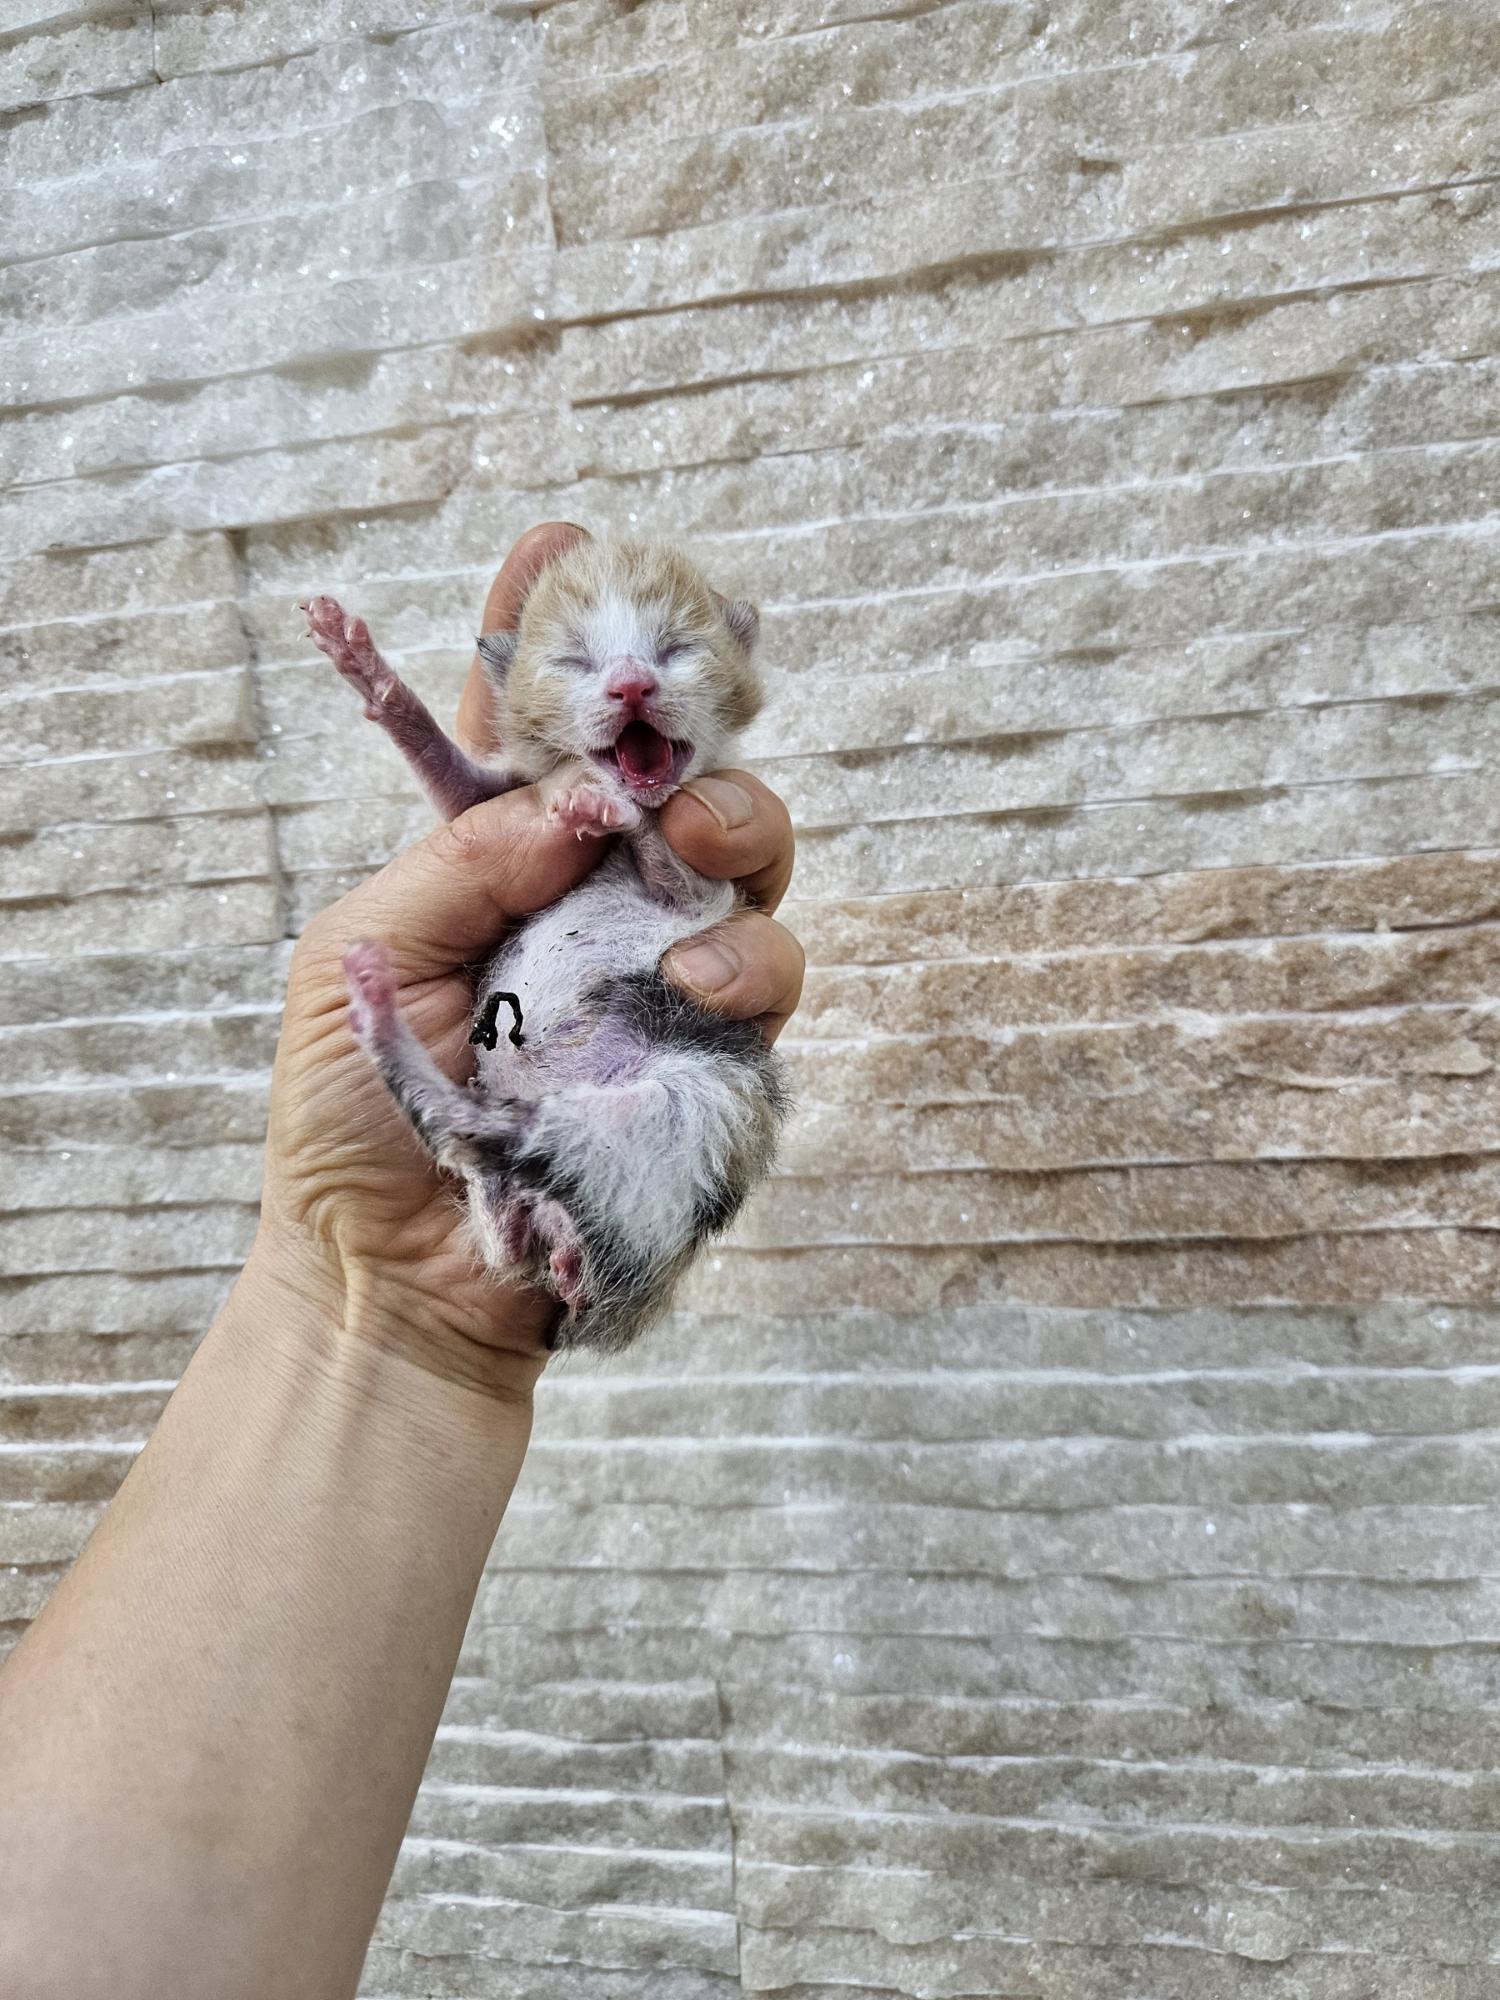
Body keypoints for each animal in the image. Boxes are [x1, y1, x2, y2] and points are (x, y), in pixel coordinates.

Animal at [310, 540, 792, 1352]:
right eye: (572, 661)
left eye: (677, 649)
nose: (632, 683)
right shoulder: (494, 800)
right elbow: (459, 789)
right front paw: (371, 673)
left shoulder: (707, 896)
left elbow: (670, 866)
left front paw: (611, 806)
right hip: (537, 1194)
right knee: (498, 1203)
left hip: (666, 1126)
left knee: (491, 1131)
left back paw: (382, 1020)